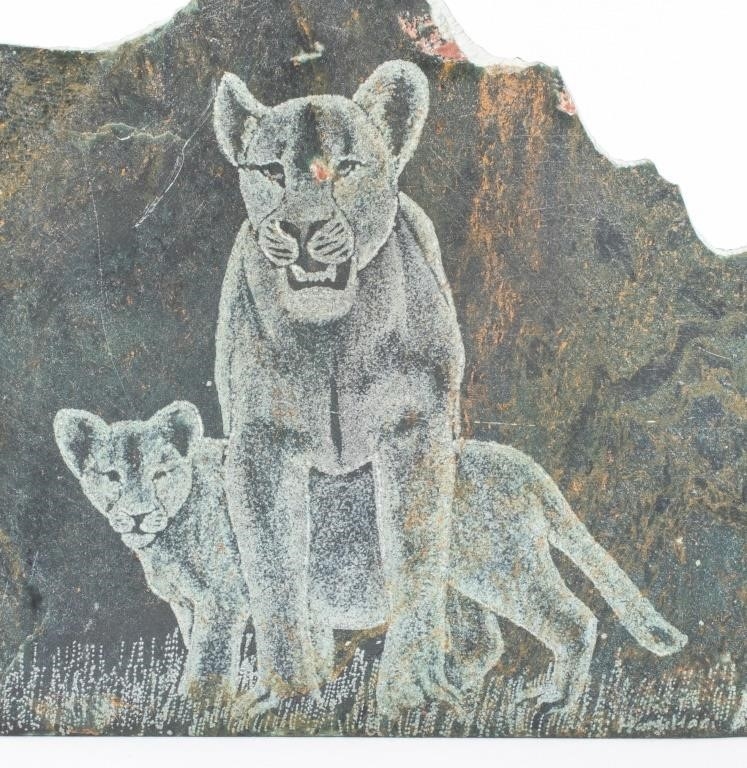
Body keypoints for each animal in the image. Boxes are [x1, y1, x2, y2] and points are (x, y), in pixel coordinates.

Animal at [53, 402, 251, 699]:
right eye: (113, 475)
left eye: (159, 474)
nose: (138, 516)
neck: (166, 544)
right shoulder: (186, 603)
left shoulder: (224, 599)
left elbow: (206, 666)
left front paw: (191, 704)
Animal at [212, 60, 465, 715]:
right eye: (272, 171)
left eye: (347, 166)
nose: (302, 229)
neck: (330, 336)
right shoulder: (260, 444)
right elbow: (274, 567)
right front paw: (286, 694)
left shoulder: (416, 429)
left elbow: (415, 554)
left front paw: (414, 692)